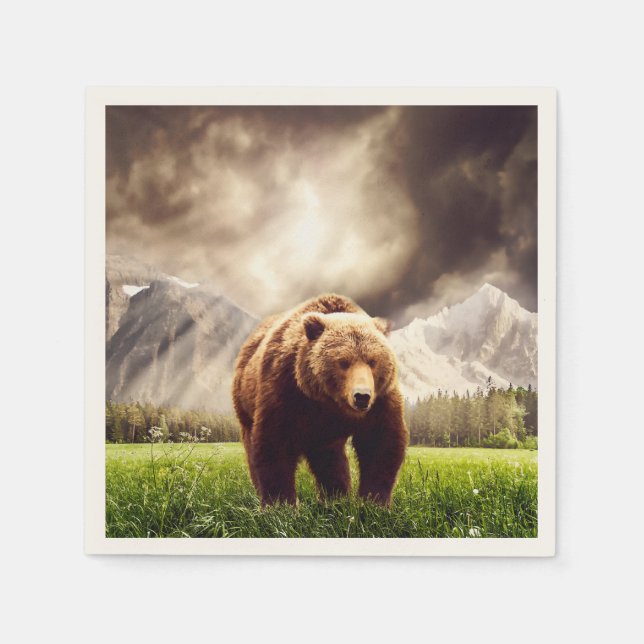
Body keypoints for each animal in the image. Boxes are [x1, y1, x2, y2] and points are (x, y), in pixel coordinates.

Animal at [232, 293, 408, 506]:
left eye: (372, 361)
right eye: (343, 362)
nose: (361, 396)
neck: (329, 402)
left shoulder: (380, 401)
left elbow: (380, 442)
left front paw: (373, 501)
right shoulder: (284, 388)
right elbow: (275, 442)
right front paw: (281, 503)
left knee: (329, 459)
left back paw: (336, 496)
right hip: (245, 401)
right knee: (251, 444)